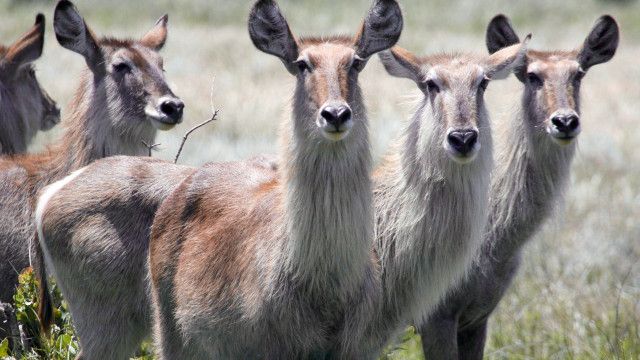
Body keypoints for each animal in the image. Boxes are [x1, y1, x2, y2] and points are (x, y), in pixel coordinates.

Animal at [35, 0, 400, 358]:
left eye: (355, 62)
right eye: (302, 64)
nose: (335, 113)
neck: (322, 286)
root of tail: (47, 197)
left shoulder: (356, 347)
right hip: (143, 328)